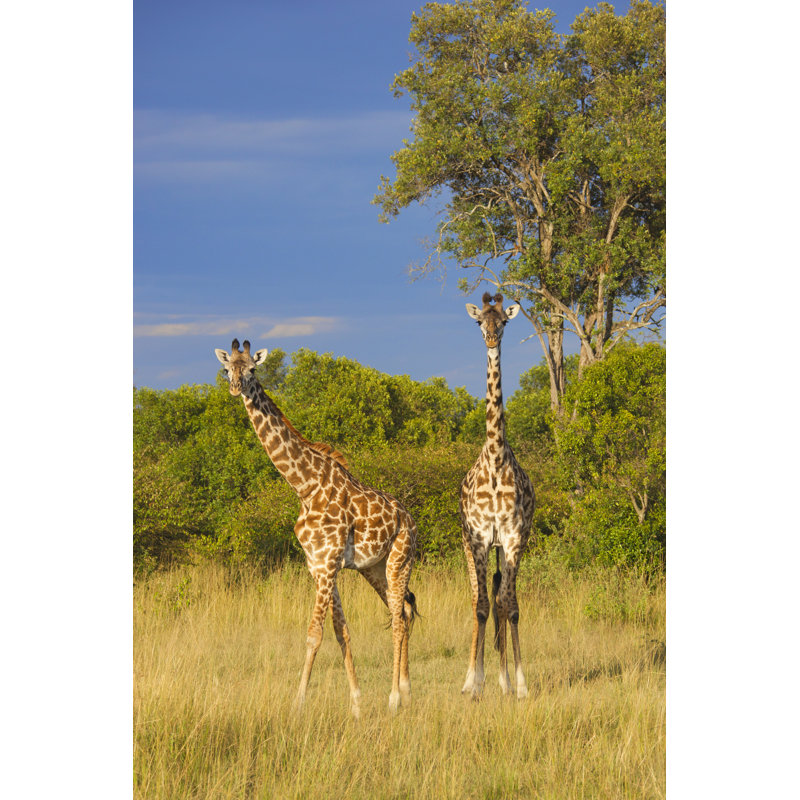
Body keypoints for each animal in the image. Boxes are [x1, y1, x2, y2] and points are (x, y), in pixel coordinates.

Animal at [214, 339, 418, 717]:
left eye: (252, 369)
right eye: (226, 369)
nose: (237, 387)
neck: (304, 486)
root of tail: (410, 520)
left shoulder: (326, 565)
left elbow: (314, 634)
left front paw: (297, 704)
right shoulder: (318, 565)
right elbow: (341, 632)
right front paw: (356, 704)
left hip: (401, 559)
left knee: (398, 619)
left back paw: (394, 699)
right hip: (374, 568)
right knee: (405, 611)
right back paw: (407, 692)